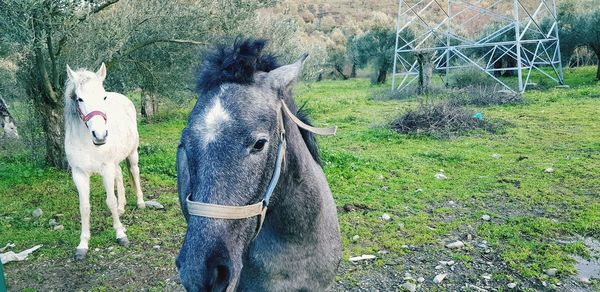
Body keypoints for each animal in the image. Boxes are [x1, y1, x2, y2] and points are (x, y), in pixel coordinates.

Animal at [64, 62, 145, 258]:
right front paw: (83, 245)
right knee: (120, 175)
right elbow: (84, 207)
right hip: (115, 161)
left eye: (103, 97)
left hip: (132, 153)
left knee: (134, 172)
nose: (100, 135)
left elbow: (110, 201)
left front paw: (121, 235)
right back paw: (122, 207)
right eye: (79, 99)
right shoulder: (79, 174)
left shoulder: (106, 168)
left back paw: (140, 203)